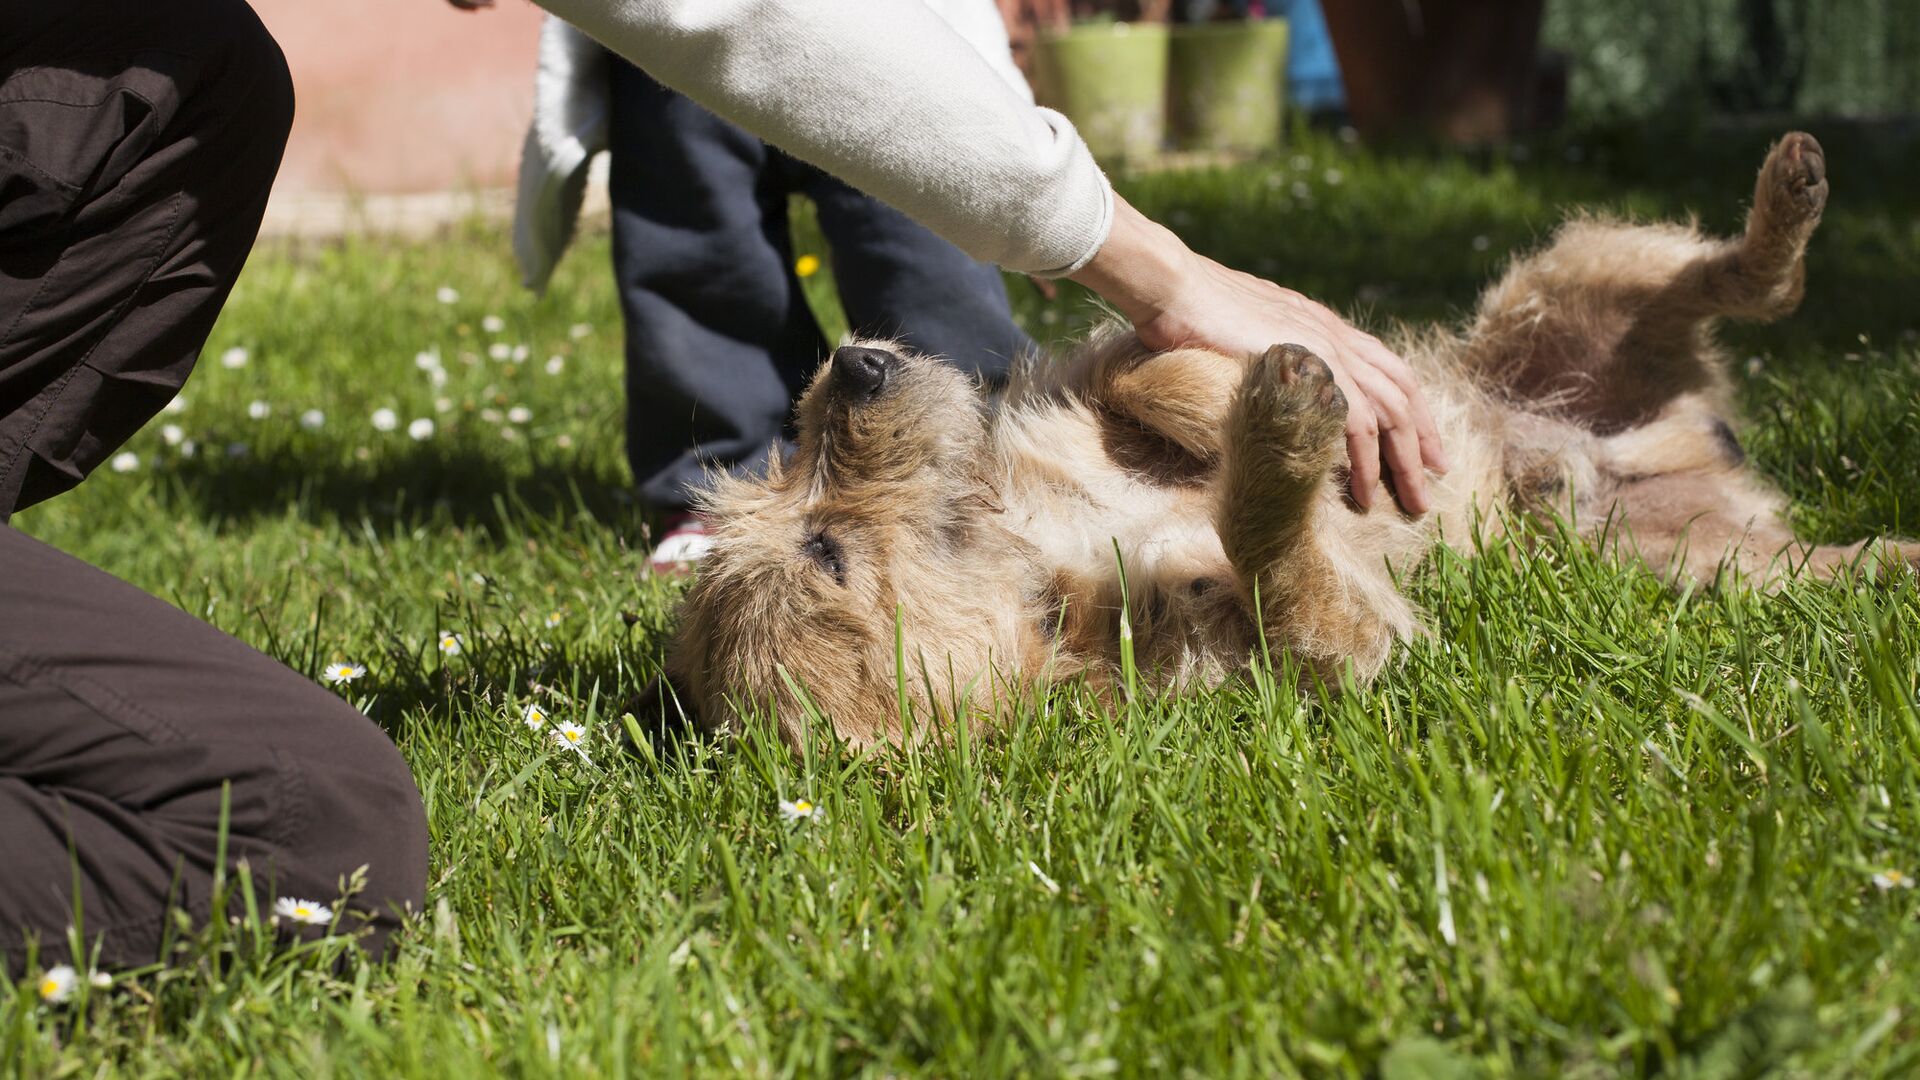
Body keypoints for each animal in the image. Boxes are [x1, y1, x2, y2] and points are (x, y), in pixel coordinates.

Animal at [641, 130, 1920, 745]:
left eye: (785, 477)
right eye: (824, 554)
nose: (852, 363)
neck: (1049, 553)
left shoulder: (1107, 378)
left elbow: (1160, 369)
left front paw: (1266, 402)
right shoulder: (1350, 646)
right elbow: (1278, 558)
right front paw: (1284, 441)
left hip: (1574, 277)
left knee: (1733, 278)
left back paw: (1789, 197)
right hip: (1712, 571)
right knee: (1830, 553)